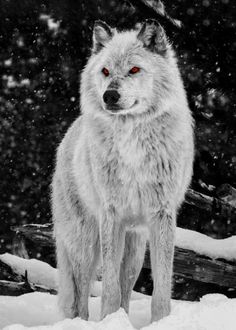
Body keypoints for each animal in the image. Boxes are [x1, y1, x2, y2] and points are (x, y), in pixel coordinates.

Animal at [51, 19, 194, 324]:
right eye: (105, 71)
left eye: (134, 70)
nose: (110, 95)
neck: (133, 141)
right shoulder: (111, 215)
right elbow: (109, 289)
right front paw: (108, 320)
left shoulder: (161, 215)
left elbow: (161, 287)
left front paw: (160, 322)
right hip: (85, 242)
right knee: (81, 295)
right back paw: (83, 323)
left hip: (135, 247)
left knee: (126, 282)